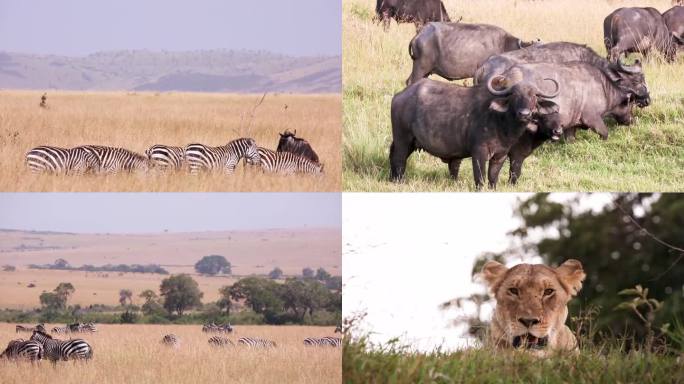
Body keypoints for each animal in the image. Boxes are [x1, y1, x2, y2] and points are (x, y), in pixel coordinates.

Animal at [390, 71, 560, 189]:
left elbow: (493, 179)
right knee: (399, 159)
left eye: (534, 97)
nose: (524, 114)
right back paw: (399, 181)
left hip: (410, 142)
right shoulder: (479, 153)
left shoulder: (501, 156)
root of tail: (400, 96)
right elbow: (480, 178)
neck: (502, 124)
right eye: (514, 96)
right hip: (403, 139)